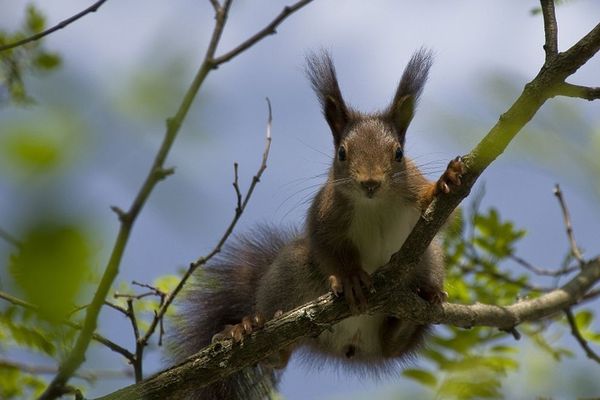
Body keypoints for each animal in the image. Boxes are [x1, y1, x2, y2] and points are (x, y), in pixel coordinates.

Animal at [166, 49, 466, 400]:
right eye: (342, 153)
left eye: (398, 154)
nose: (370, 183)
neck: (373, 204)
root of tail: (350, 346)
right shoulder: (325, 213)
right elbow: (326, 246)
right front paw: (350, 278)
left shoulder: (413, 190)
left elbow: (441, 213)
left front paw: (446, 180)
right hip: (291, 273)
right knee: (280, 350)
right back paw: (250, 328)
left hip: (429, 260)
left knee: (395, 345)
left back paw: (425, 298)